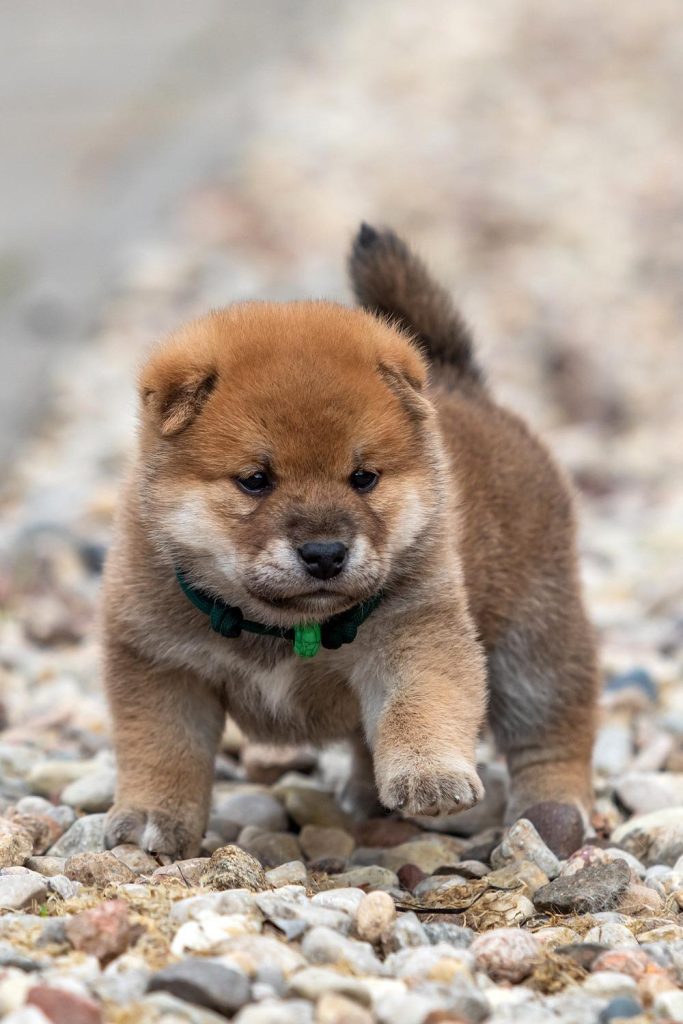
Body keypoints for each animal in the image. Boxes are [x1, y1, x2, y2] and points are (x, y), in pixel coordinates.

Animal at [102, 224, 597, 859]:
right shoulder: (161, 666)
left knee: (553, 733)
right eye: (255, 480)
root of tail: (467, 388)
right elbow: (163, 750)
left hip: (535, 642)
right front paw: (151, 816)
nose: (324, 554)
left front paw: (430, 774)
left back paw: (551, 811)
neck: (282, 629)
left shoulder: (416, 634)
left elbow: (420, 706)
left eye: (363, 478)